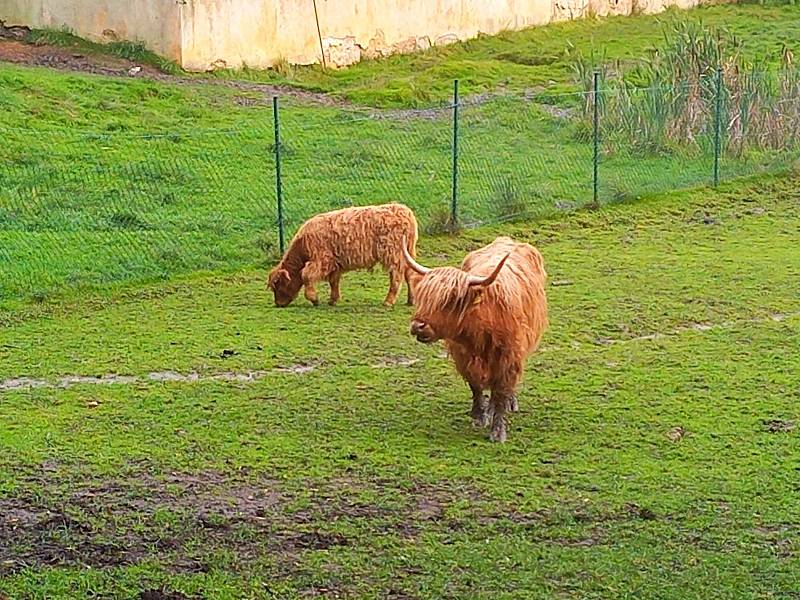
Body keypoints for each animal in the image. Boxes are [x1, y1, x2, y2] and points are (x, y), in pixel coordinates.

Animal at [268, 203, 418, 308]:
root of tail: (405, 211)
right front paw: (333, 300)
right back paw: (411, 300)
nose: (278, 304)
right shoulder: (334, 263)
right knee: (410, 275)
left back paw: (388, 301)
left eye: (278, 284)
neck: (303, 244)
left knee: (396, 277)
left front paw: (314, 299)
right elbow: (333, 281)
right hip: (407, 253)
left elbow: (306, 275)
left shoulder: (322, 260)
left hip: (393, 254)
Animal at [404, 237, 548, 442]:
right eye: (423, 296)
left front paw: (498, 431)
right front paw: (479, 416)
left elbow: (501, 391)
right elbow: (475, 386)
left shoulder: (508, 358)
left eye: (451, 299)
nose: (418, 326)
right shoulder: (463, 356)